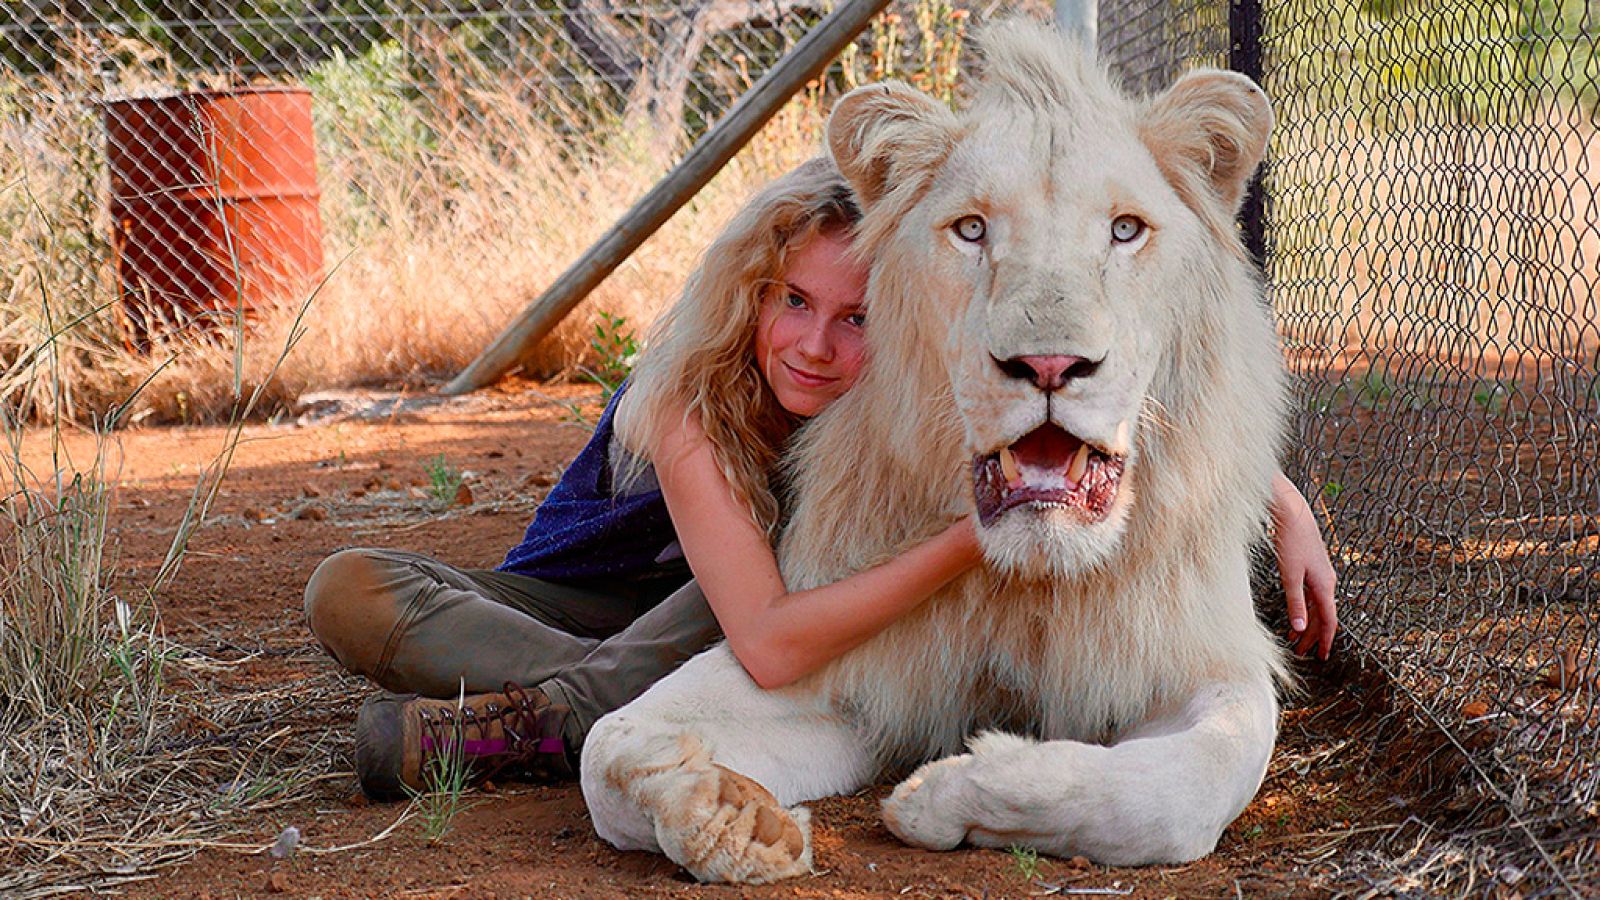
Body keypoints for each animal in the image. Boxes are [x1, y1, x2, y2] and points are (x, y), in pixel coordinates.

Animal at [578, 19, 1291, 884]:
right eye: (972, 229)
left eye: (1125, 229)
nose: (1049, 364)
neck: (1028, 581)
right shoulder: (841, 658)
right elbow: (608, 746)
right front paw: (728, 815)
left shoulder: (1201, 658)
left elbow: (1182, 790)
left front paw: (948, 791)